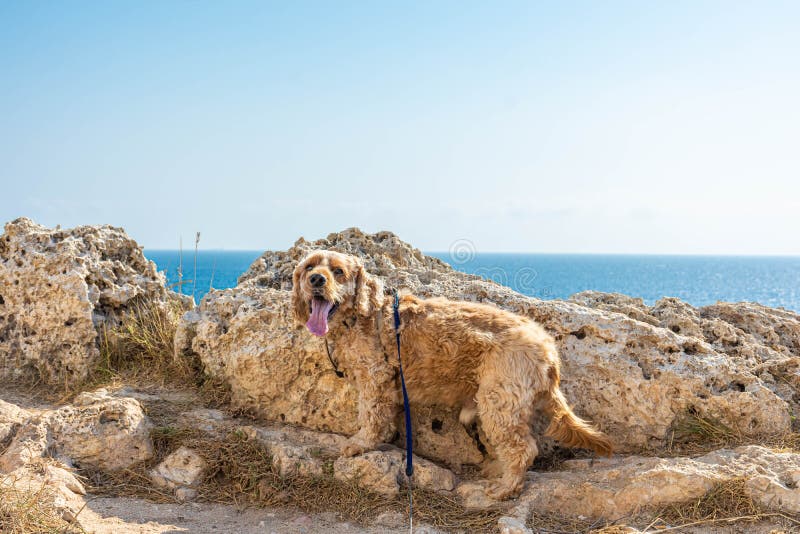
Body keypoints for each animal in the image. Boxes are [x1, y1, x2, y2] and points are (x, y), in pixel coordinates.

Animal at [294, 251, 612, 502]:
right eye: (310, 267)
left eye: (338, 271)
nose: (317, 280)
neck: (361, 316)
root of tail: (546, 345)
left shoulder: (375, 376)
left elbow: (370, 415)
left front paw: (361, 443)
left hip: (498, 401)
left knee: (522, 448)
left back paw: (507, 487)